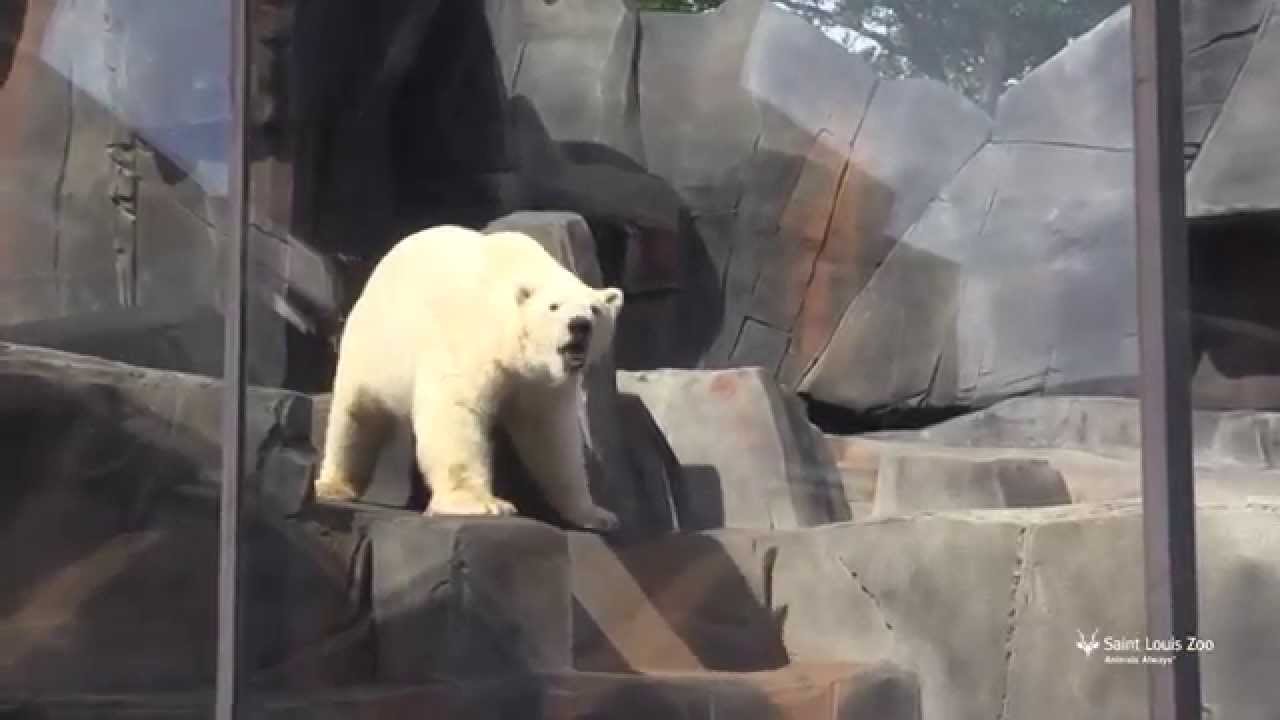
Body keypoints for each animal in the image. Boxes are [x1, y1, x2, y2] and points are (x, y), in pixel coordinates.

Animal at [313, 224, 623, 532]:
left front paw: (595, 514)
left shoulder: (541, 385)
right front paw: (483, 503)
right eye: (554, 306)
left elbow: (553, 437)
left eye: (595, 310)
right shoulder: (470, 343)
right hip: (376, 347)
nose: (580, 325)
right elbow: (457, 413)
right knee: (356, 414)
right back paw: (334, 484)